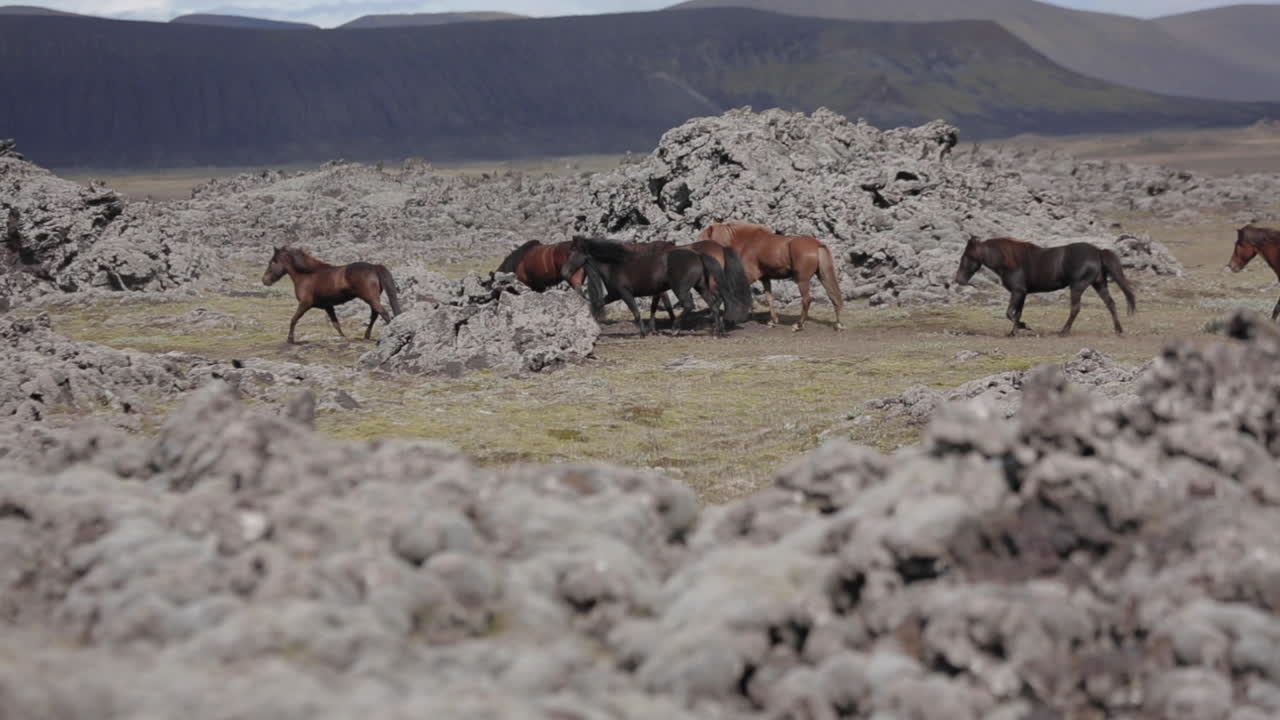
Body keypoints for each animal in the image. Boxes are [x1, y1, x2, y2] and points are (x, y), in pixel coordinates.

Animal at [261, 246, 402, 344]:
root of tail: (373, 267)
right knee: (375, 314)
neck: (307, 275)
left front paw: (290, 339)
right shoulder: (328, 306)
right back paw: (366, 336)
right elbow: (336, 324)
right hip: (372, 299)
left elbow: (294, 319)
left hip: (370, 298)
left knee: (383, 313)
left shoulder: (305, 303)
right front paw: (343, 338)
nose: (264, 280)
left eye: (273, 262)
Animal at [560, 236, 727, 337]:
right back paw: (716, 331)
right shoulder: (614, 294)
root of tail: (698, 255)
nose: (564, 272)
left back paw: (675, 329)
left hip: (680, 289)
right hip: (701, 286)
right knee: (713, 305)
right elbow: (598, 304)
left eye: (573, 252)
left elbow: (636, 311)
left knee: (689, 305)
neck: (614, 265)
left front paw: (643, 332)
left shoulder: (625, 293)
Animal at [697, 221, 845, 332]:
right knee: (834, 296)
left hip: (802, 280)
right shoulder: (765, 278)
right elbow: (769, 298)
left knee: (807, 300)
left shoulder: (749, 276)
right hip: (823, 276)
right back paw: (839, 324)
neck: (748, 242)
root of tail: (817, 245)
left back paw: (798, 325)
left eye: (703, 239)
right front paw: (773, 321)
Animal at [953, 237, 1136, 337]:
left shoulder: (1018, 291)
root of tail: (1097, 251)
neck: (1011, 261)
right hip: (1099, 284)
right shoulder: (1023, 293)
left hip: (1077, 286)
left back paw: (1063, 332)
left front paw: (1026, 327)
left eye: (966, 256)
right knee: (1110, 304)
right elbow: (1017, 313)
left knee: (1075, 308)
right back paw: (1119, 330)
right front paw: (1013, 332)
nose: (959, 280)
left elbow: (1010, 313)